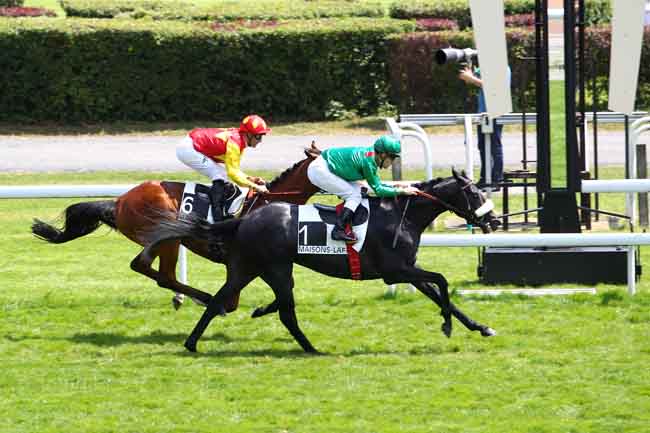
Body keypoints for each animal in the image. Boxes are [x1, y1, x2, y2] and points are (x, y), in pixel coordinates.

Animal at [31, 144, 322, 311]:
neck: (268, 204)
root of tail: (120, 201)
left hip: (162, 240)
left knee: (148, 269)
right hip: (167, 237)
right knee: (159, 274)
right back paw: (203, 297)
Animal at [141, 168, 501, 353]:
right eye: (474, 193)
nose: (494, 220)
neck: (403, 215)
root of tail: (244, 219)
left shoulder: (407, 271)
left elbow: (441, 293)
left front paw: (480, 327)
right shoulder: (395, 270)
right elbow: (442, 280)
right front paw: (447, 325)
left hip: (252, 268)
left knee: (221, 300)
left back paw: (193, 342)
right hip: (273, 269)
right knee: (282, 311)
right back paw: (311, 348)